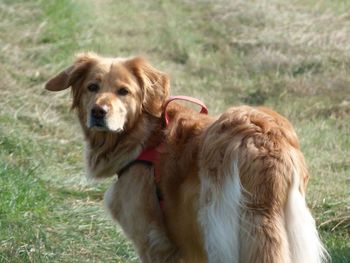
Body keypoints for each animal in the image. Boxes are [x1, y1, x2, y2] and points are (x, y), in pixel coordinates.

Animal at [45, 52, 326, 262]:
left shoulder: (153, 241)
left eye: (123, 91)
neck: (146, 134)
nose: (98, 112)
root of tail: (265, 138)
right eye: (92, 87)